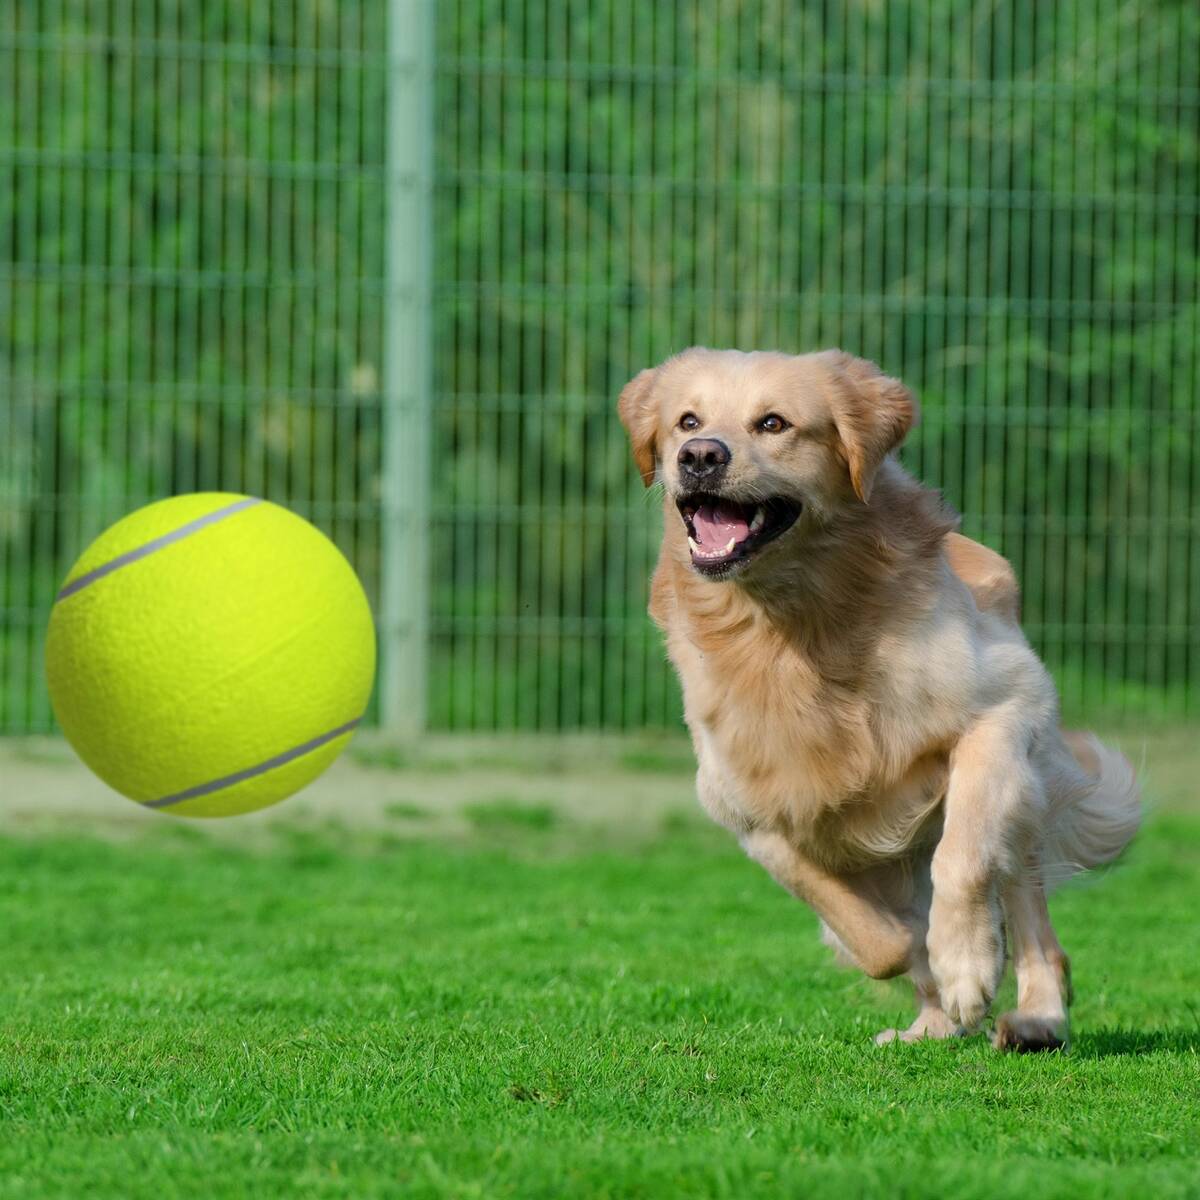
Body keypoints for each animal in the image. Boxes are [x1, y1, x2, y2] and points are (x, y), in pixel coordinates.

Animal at [624, 348, 1137, 1051]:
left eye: (773, 423)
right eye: (687, 421)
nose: (699, 456)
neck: (791, 626)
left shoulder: (1005, 708)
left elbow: (963, 855)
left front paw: (966, 963)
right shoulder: (749, 811)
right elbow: (873, 937)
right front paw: (933, 971)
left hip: (1024, 792)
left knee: (1027, 909)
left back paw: (1036, 1015)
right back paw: (931, 1024)